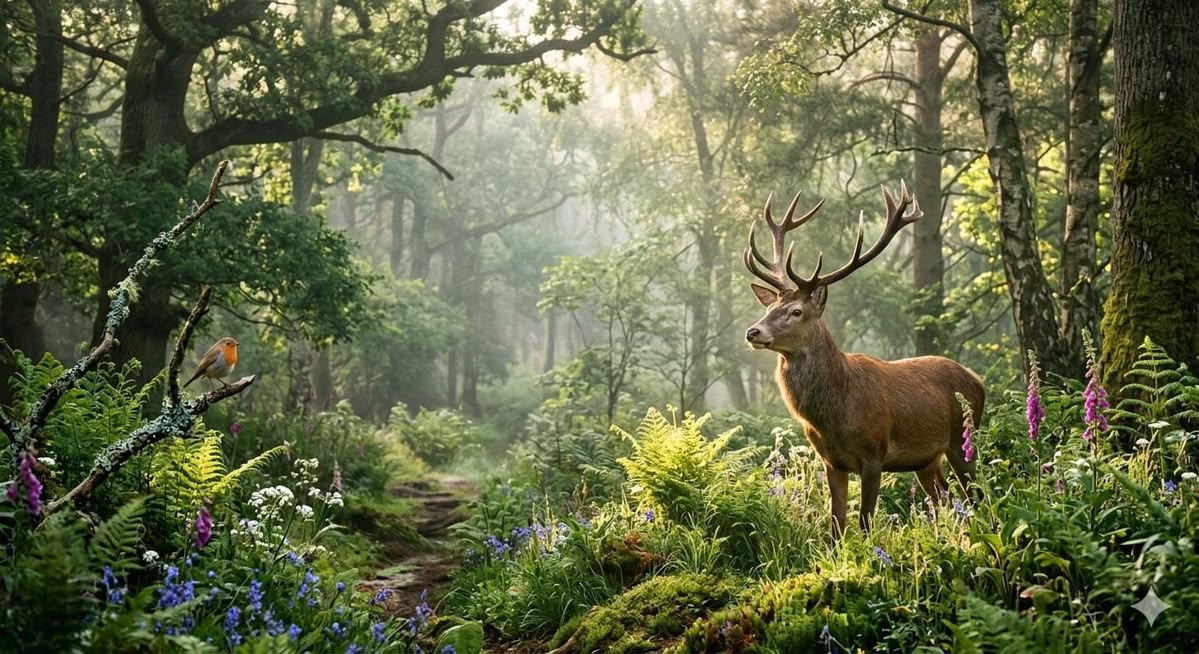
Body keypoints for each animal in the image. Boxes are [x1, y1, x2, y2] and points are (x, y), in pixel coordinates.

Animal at [742, 183, 985, 537]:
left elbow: (866, 522)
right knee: (944, 499)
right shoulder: (831, 461)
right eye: (770, 308)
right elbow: (836, 525)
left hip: (962, 439)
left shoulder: (874, 455)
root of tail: (979, 381)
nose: (753, 331)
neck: (834, 414)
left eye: (796, 311)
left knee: (975, 496)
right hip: (927, 459)